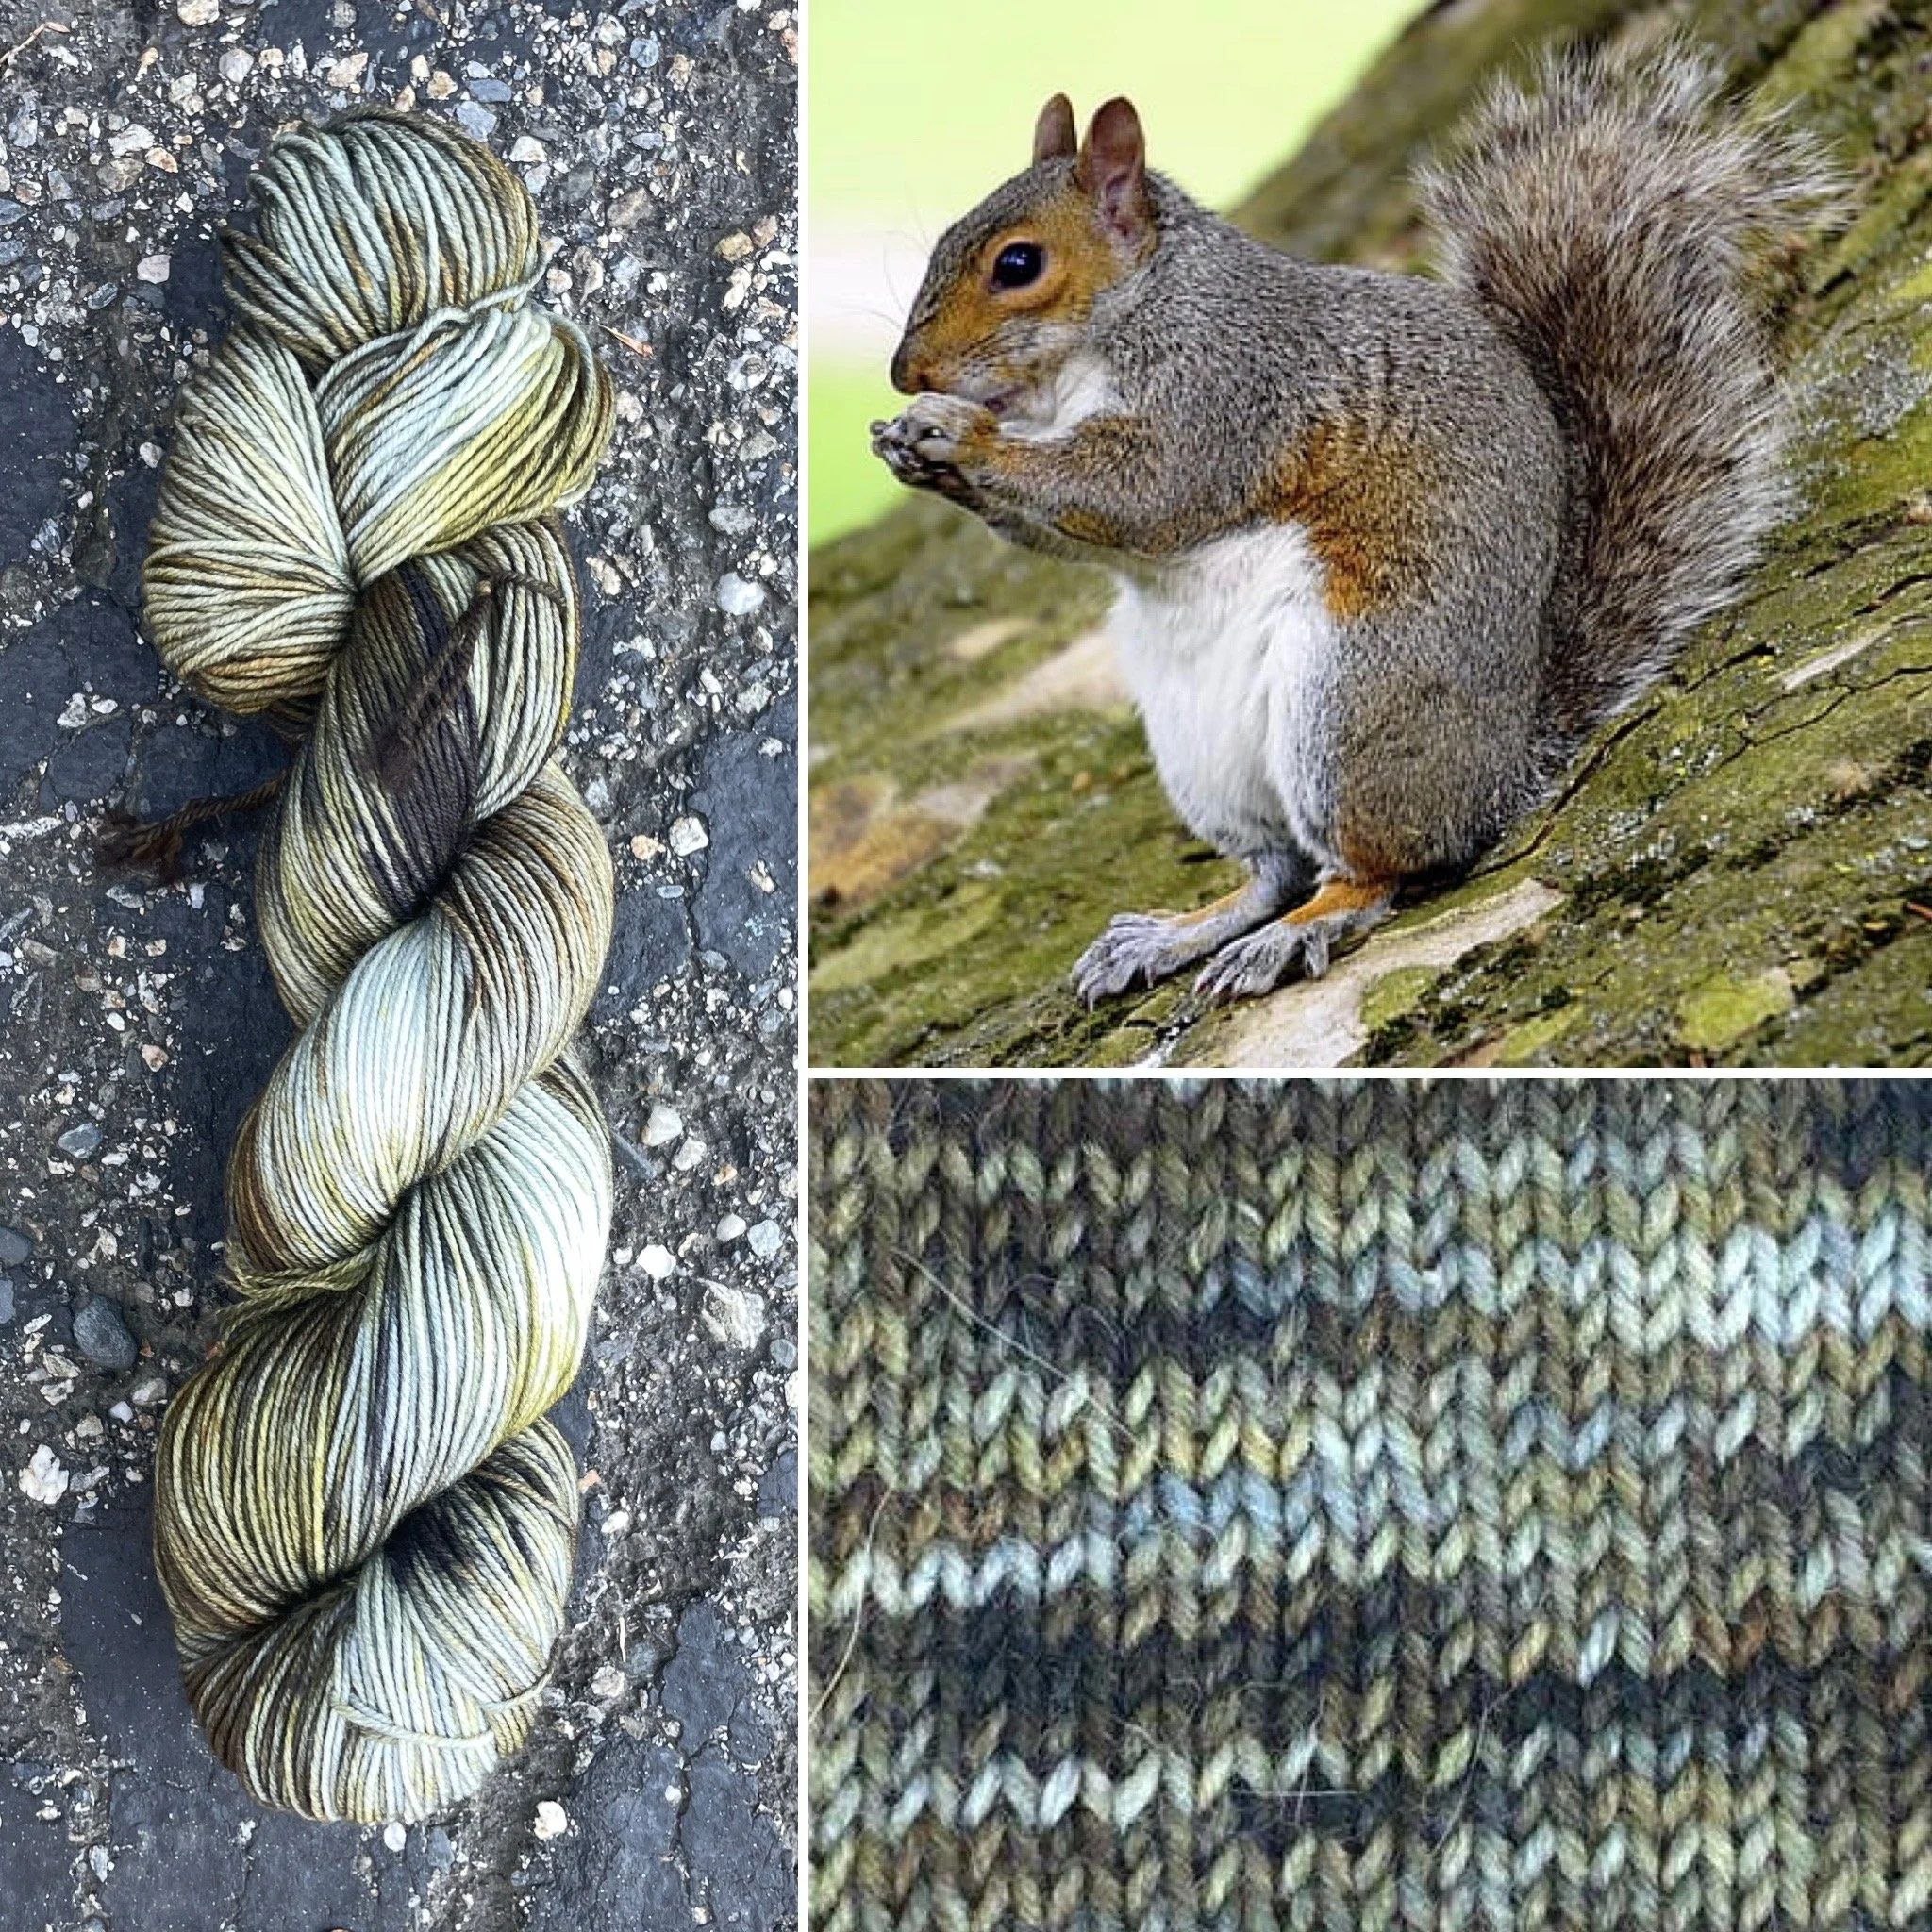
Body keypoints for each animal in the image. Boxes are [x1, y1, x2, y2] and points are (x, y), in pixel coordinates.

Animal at [872, 39, 1838, 1006]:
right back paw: (1177, 934)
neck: (1135, 311)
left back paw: (1297, 932)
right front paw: (916, 444)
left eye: (1018, 265)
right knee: (1276, 869)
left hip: (1349, 702)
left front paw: (959, 433)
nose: (903, 371)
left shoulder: (1226, 393)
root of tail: (1500, 772)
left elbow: (1141, 491)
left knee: (1378, 871)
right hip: (1204, 755)